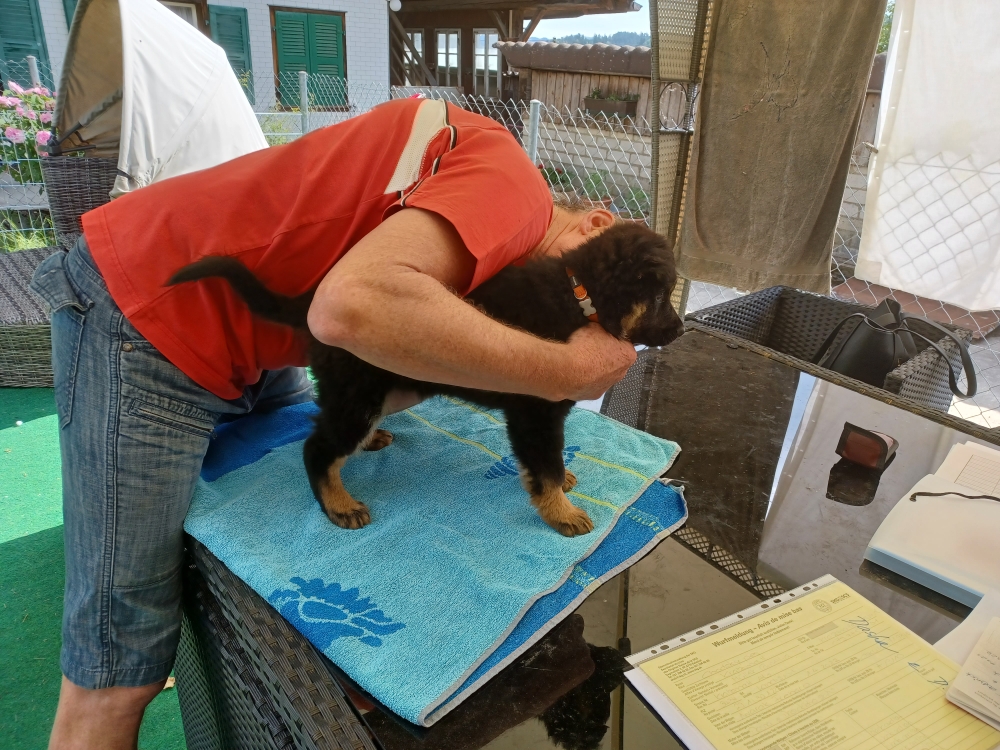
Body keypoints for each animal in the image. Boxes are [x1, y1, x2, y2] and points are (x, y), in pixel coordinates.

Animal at [174, 222, 688, 536]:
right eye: (660, 296)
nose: (681, 330)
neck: (579, 295)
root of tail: (312, 302)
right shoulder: (535, 410)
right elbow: (544, 466)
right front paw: (561, 512)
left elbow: (552, 463)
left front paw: (564, 485)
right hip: (358, 393)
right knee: (316, 447)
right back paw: (339, 504)